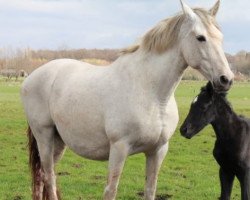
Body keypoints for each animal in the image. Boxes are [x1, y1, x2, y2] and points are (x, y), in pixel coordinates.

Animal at [21, 0, 234, 199]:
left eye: (221, 38)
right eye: (200, 38)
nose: (226, 79)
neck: (153, 96)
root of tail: (32, 77)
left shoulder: (157, 150)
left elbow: (150, 189)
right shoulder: (119, 148)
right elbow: (111, 190)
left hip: (58, 141)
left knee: (42, 176)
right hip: (44, 136)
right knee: (48, 176)